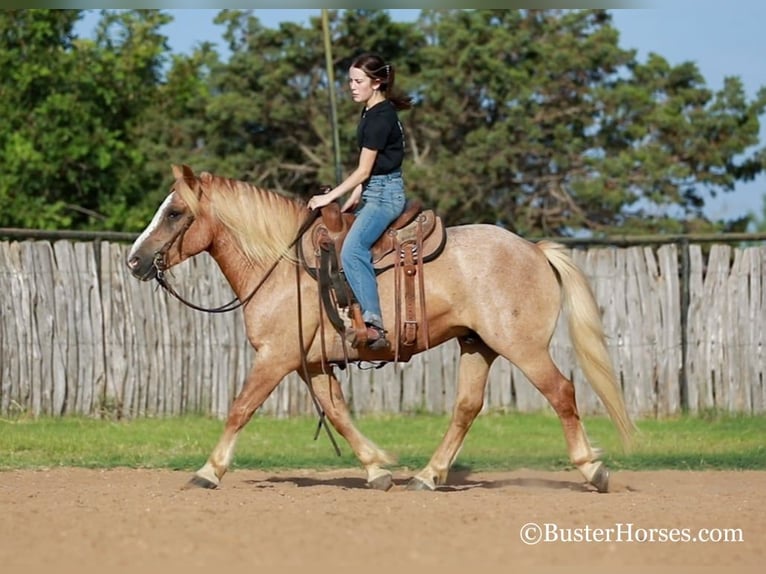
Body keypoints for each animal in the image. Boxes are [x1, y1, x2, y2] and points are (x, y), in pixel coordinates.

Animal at [127, 165, 636, 496]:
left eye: (174, 213)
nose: (133, 260)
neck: (283, 266)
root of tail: (534, 249)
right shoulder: (313, 364)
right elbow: (338, 415)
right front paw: (377, 469)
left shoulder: (275, 357)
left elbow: (240, 409)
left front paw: (208, 471)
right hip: (478, 346)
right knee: (466, 408)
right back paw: (428, 476)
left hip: (523, 348)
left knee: (561, 392)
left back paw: (592, 470)